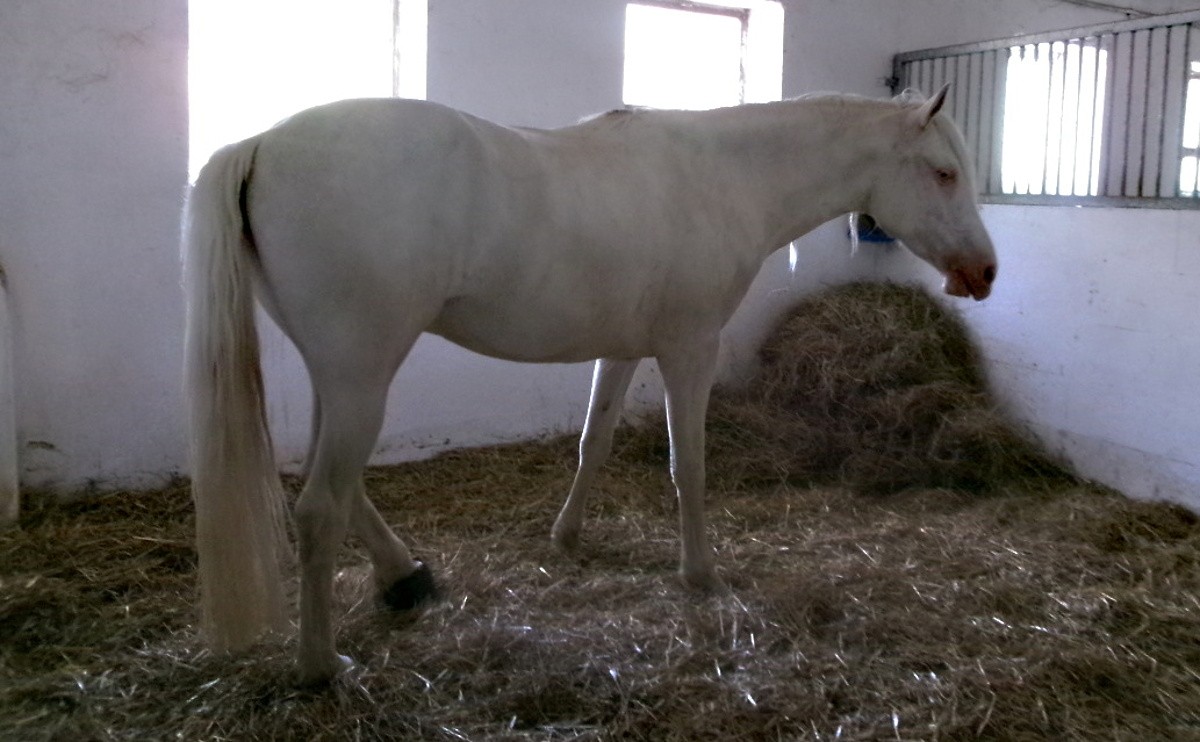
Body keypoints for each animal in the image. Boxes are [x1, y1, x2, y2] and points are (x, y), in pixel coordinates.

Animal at [182, 84, 997, 683]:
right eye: (944, 172)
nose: (984, 273)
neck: (724, 177)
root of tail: (262, 144)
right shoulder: (688, 350)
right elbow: (688, 465)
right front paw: (700, 573)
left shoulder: (624, 351)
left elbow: (593, 442)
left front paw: (567, 536)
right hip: (360, 374)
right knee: (320, 506)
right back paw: (320, 666)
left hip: (343, 375)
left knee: (336, 487)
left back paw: (404, 579)